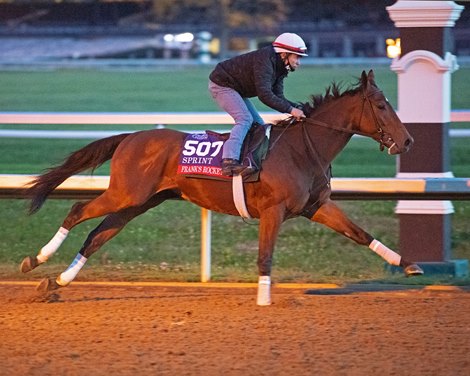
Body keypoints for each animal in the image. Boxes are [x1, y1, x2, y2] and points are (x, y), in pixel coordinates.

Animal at [19, 70, 422, 306]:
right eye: (382, 105)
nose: (406, 141)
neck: (302, 148)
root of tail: (130, 137)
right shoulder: (273, 210)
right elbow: (265, 255)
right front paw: (263, 298)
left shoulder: (315, 207)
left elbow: (360, 233)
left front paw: (408, 265)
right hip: (126, 194)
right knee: (77, 212)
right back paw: (35, 260)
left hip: (139, 202)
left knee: (97, 236)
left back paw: (57, 282)